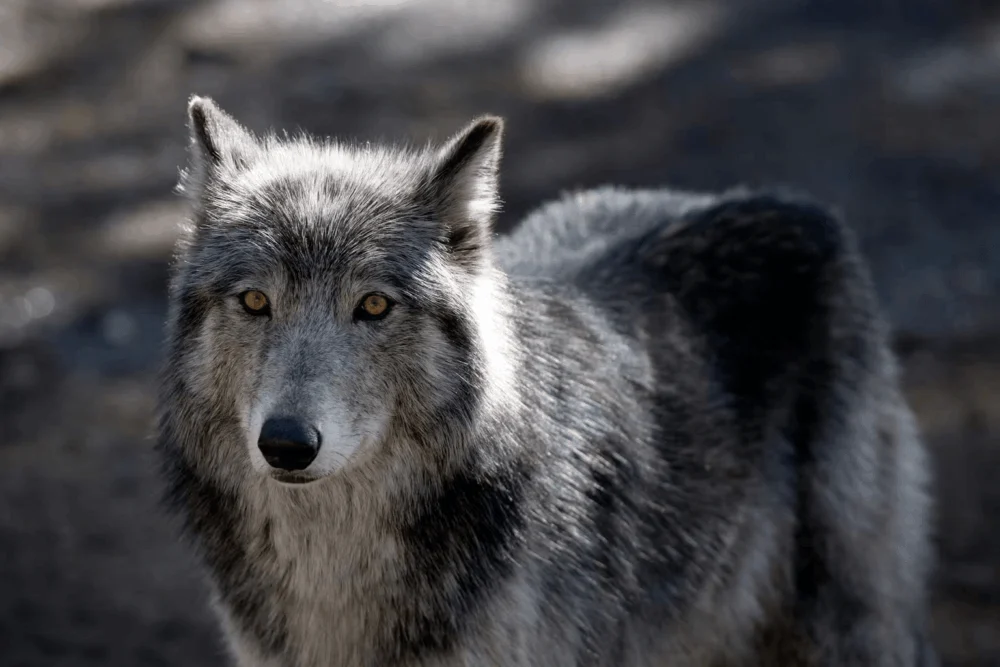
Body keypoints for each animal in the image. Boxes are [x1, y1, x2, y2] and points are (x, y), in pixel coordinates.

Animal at [157, 95, 936, 667]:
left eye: (373, 305)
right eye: (255, 301)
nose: (287, 444)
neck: (334, 570)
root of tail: (791, 202)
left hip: (846, 621)